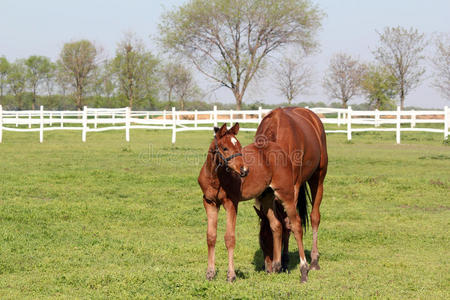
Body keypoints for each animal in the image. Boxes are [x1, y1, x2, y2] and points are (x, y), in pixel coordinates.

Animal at [199, 108, 328, 284]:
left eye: (239, 146)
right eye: (225, 148)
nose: (244, 171)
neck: (215, 177)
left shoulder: (231, 203)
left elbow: (229, 238)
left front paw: (231, 275)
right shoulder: (210, 203)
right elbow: (211, 237)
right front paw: (210, 274)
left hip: (297, 188)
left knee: (298, 223)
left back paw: (305, 269)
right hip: (268, 197)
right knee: (277, 224)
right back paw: (278, 266)